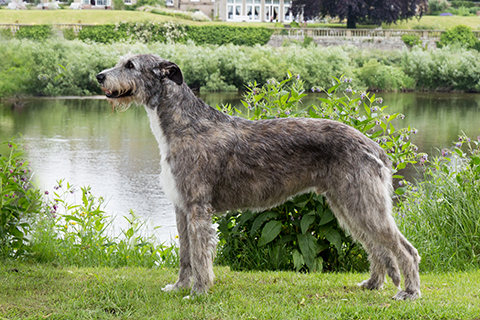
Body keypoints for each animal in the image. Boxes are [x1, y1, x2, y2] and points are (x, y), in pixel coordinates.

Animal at [96, 53, 420, 302]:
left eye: (130, 65)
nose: (99, 76)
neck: (184, 124)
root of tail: (375, 146)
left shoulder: (198, 208)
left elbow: (200, 255)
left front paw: (198, 292)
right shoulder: (181, 207)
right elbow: (185, 255)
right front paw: (179, 287)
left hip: (363, 202)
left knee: (405, 249)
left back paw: (410, 292)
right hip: (347, 205)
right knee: (375, 246)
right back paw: (373, 284)